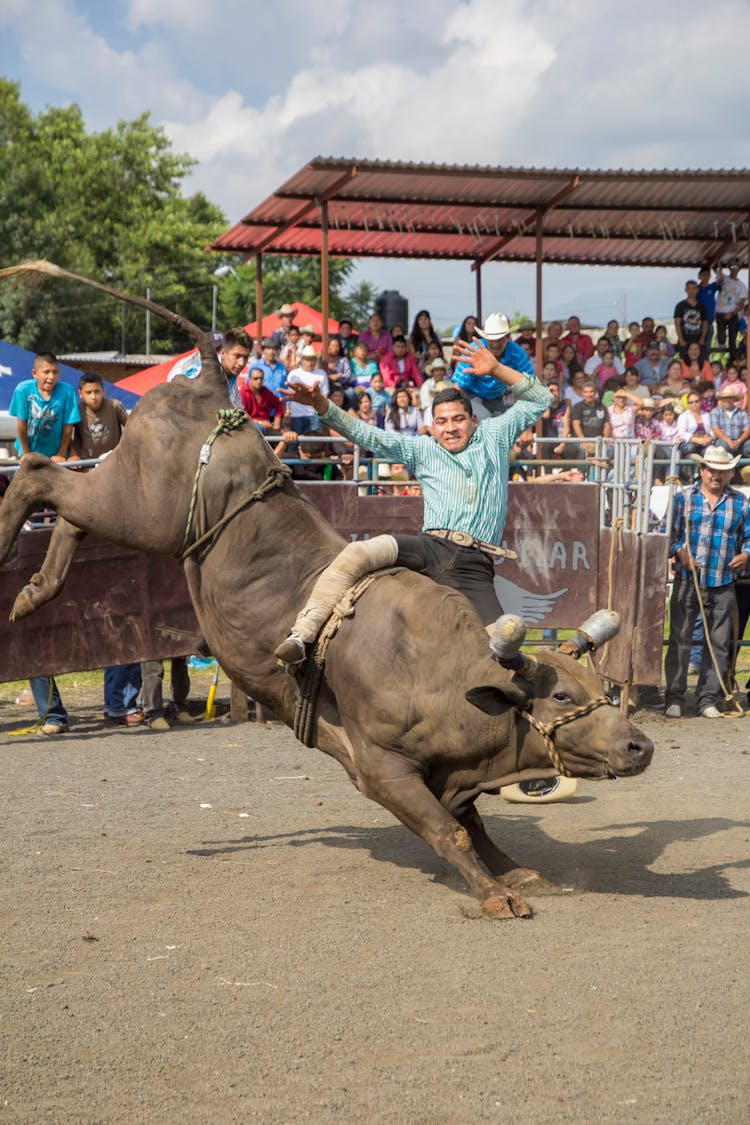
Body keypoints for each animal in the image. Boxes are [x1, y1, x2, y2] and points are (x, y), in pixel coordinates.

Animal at [0, 265, 652, 922]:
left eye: (604, 688)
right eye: (563, 696)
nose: (640, 745)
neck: (439, 673)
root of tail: (209, 378)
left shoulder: (449, 774)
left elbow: (473, 823)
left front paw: (515, 871)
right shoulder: (383, 769)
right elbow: (450, 830)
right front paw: (495, 894)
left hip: (129, 502)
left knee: (68, 509)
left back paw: (34, 589)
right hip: (144, 508)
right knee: (38, 472)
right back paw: (14, 559)